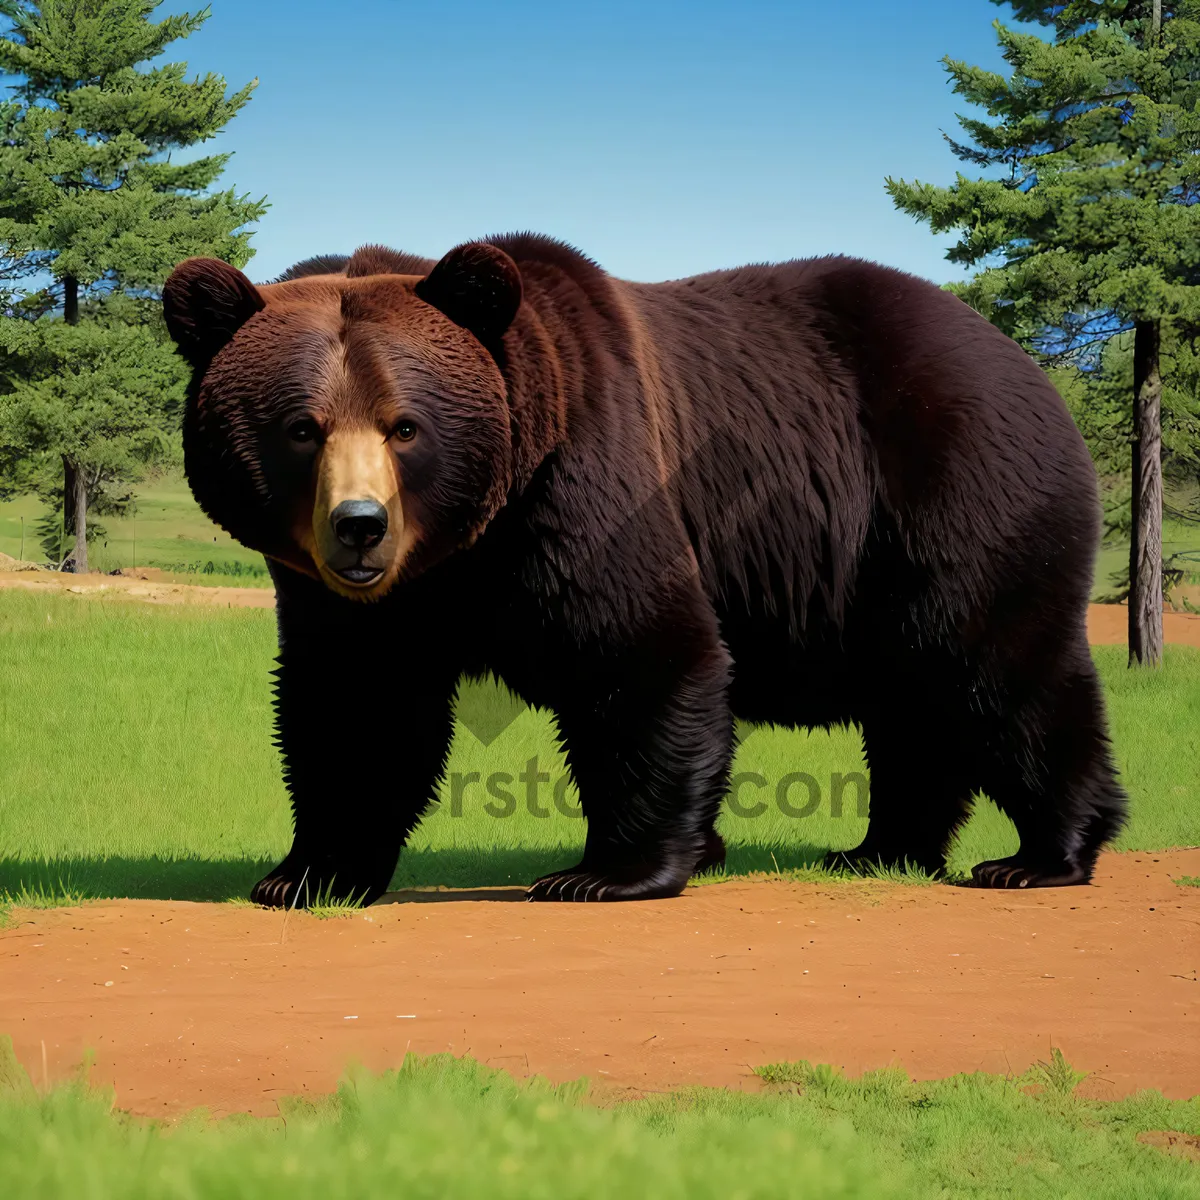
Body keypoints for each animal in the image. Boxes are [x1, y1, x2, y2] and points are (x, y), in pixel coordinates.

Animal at [164, 234, 1128, 902]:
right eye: (302, 427)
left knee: (998, 668)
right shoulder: (361, 603)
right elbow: (354, 709)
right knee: (916, 699)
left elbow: (641, 655)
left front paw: (604, 872)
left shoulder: (591, 480)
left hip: (955, 491)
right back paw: (879, 849)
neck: (468, 543)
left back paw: (1041, 854)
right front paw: (304, 875)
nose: (360, 528)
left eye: (405, 426)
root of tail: (1029, 365)